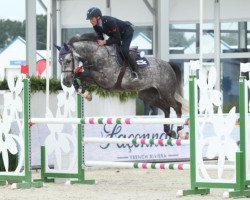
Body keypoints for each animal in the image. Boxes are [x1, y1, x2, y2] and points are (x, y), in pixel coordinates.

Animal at [56, 33, 187, 139]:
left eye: (68, 61)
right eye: (59, 61)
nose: (65, 82)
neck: (96, 54)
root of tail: (168, 65)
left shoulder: (106, 79)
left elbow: (82, 73)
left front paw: (83, 90)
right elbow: (80, 75)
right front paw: (84, 93)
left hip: (166, 92)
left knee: (177, 106)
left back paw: (180, 131)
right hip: (148, 95)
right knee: (166, 108)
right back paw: (169, 131)